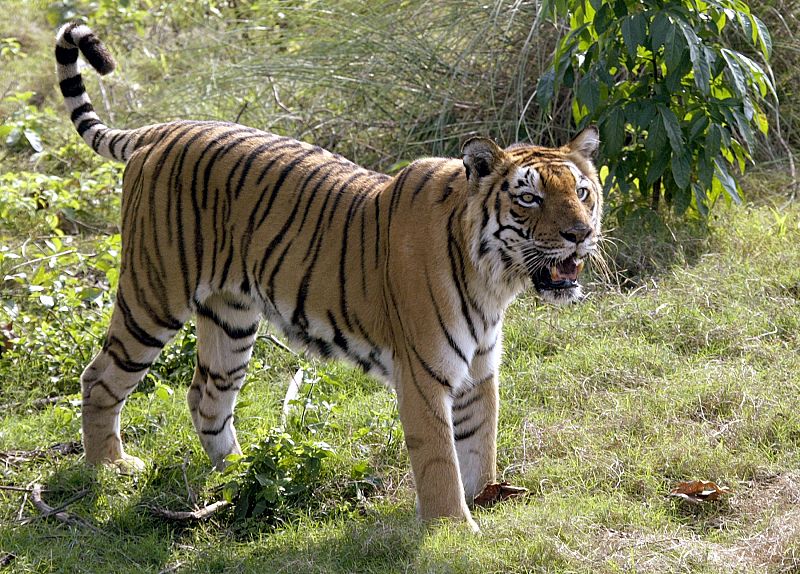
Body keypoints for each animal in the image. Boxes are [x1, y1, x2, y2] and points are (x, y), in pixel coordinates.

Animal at [55, 22, 602, 531]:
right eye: (529, 198)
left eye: (581, 191)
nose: (581, 233)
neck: (494, 279)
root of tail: (164, 129)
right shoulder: (423, 374)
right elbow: (439, 458)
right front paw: (452, 526)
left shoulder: (480, 370)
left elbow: (479, 443)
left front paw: (487, 497)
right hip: (153, 295)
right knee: (99, 378)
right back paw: (109, 467)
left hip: (231, 316)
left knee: (206, 396)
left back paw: (240, 471)